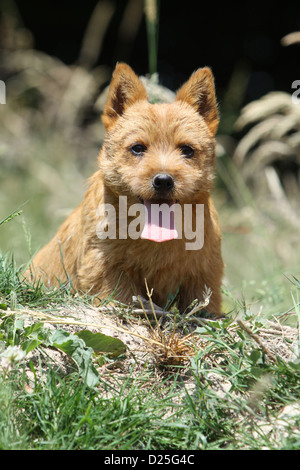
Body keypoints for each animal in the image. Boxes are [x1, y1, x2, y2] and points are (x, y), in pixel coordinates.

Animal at [29, 63, 223, 316]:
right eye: (138, 148)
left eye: (187, 150)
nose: (163, 180)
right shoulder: (105, 265)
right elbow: (117, 296)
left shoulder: (204, 274)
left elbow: (203, 307)